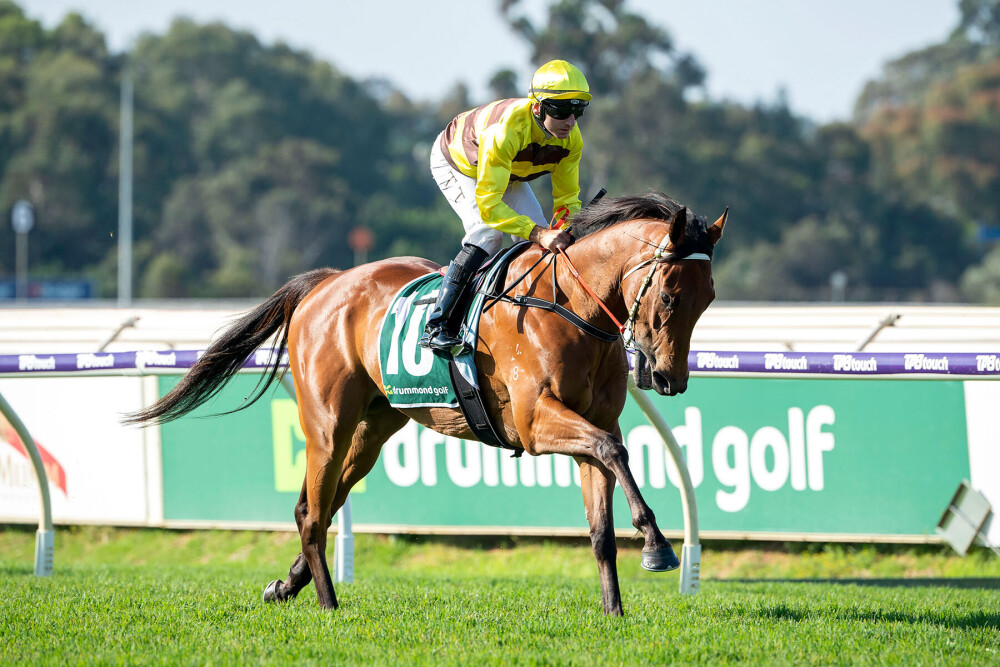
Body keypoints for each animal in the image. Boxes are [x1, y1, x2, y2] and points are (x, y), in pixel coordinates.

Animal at [126, 191, 727, 616]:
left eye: (710, 298)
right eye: (670, 293)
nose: (670, 378)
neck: (570, 307)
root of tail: (326, 283)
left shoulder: (591, 423)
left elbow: (601, 518)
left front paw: (614, 611)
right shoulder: (537, 423)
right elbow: (615, 452)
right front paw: (657, 545)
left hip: (373, 429)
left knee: (318, 506)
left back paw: (287, 586)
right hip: (327, 423)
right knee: (314, 511)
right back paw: (327, 603)